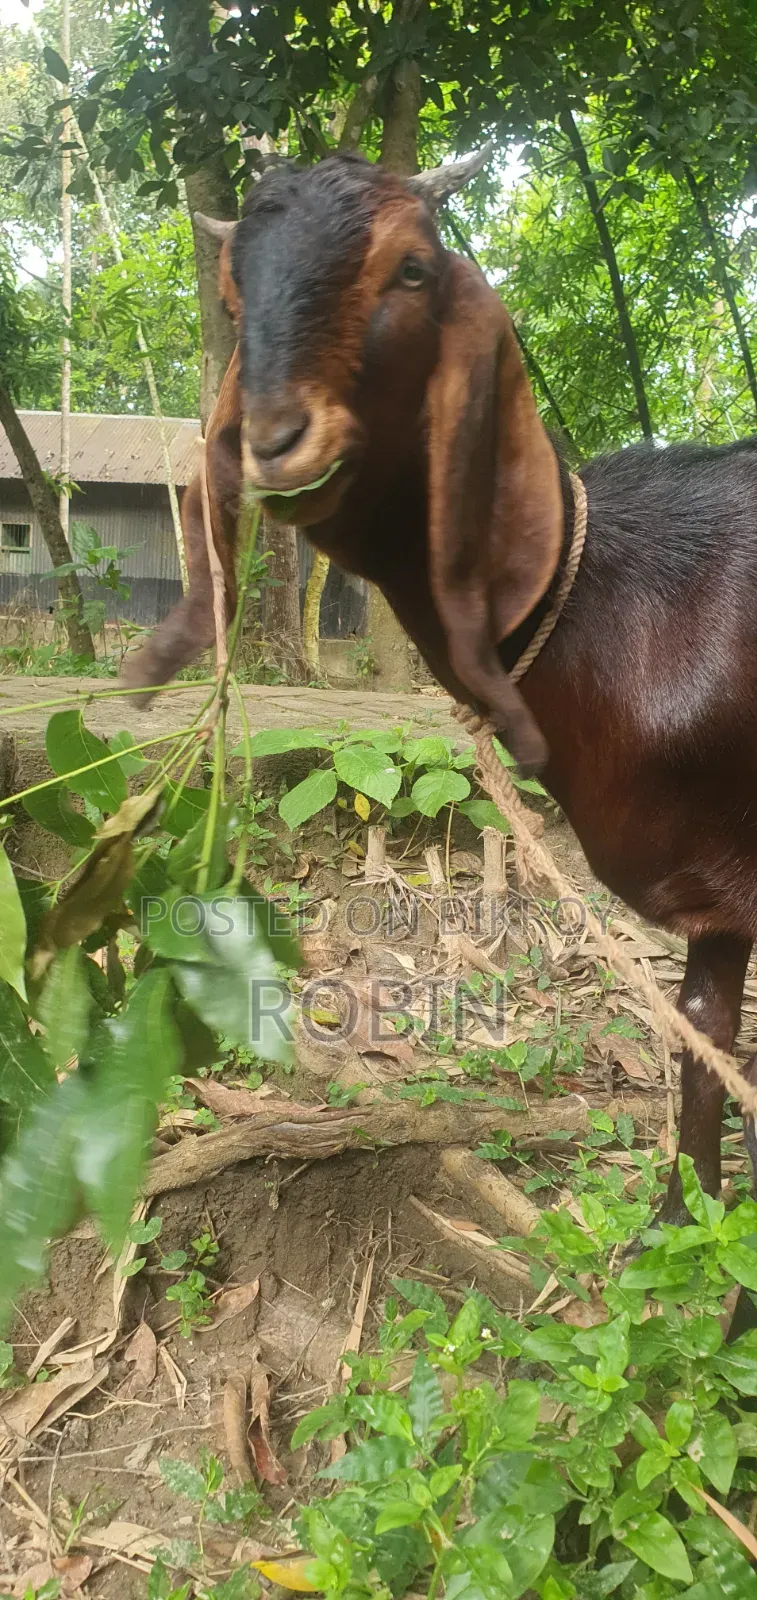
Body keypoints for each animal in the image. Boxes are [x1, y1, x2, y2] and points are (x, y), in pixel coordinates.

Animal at [123, 150, 757, 1227]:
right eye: (232, 297)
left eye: (412, 270)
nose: (273, 440)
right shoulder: (719, 904)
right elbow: (701, 1032)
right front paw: (678, 1231)